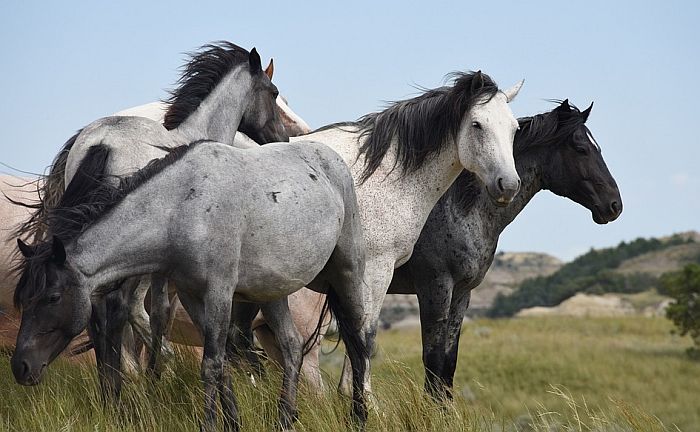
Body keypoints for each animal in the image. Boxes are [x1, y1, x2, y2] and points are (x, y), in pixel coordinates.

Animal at [13, 139, 370, 432]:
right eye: (25, 299)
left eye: (53, 297)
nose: (20, 367)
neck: (181, 208)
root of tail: (332, 160)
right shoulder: (192, 296)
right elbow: (222, 364)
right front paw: (233, 424)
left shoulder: (218, 293)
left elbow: (210, 365)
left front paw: (211, 425)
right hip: (272, 293)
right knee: (293, 347)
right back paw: (285, 419)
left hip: (347, 274)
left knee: (358, 342)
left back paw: (359, 416)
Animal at [388, 99, 624, 400]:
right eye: (581, 148)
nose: (614, 205)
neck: (456, 208)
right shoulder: (434, 289)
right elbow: (433, 362)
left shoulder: (461, 293)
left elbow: (448, 365)